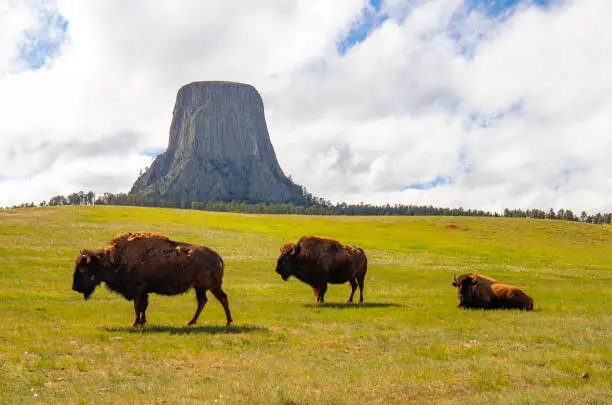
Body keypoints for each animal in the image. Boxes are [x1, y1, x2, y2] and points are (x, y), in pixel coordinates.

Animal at [71, 230, 233, 326]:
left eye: (83, 269)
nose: (74, 287)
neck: (118, 259)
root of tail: (216, 256)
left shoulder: (138, 289)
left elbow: (138, 306)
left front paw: (134, 324)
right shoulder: (144, 292)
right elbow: (143, 307)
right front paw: (142, 322)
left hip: (212, 286)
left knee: (222, 298)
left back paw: (228, 321)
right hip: (199, 287)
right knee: (202, 301)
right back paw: (191, 322)